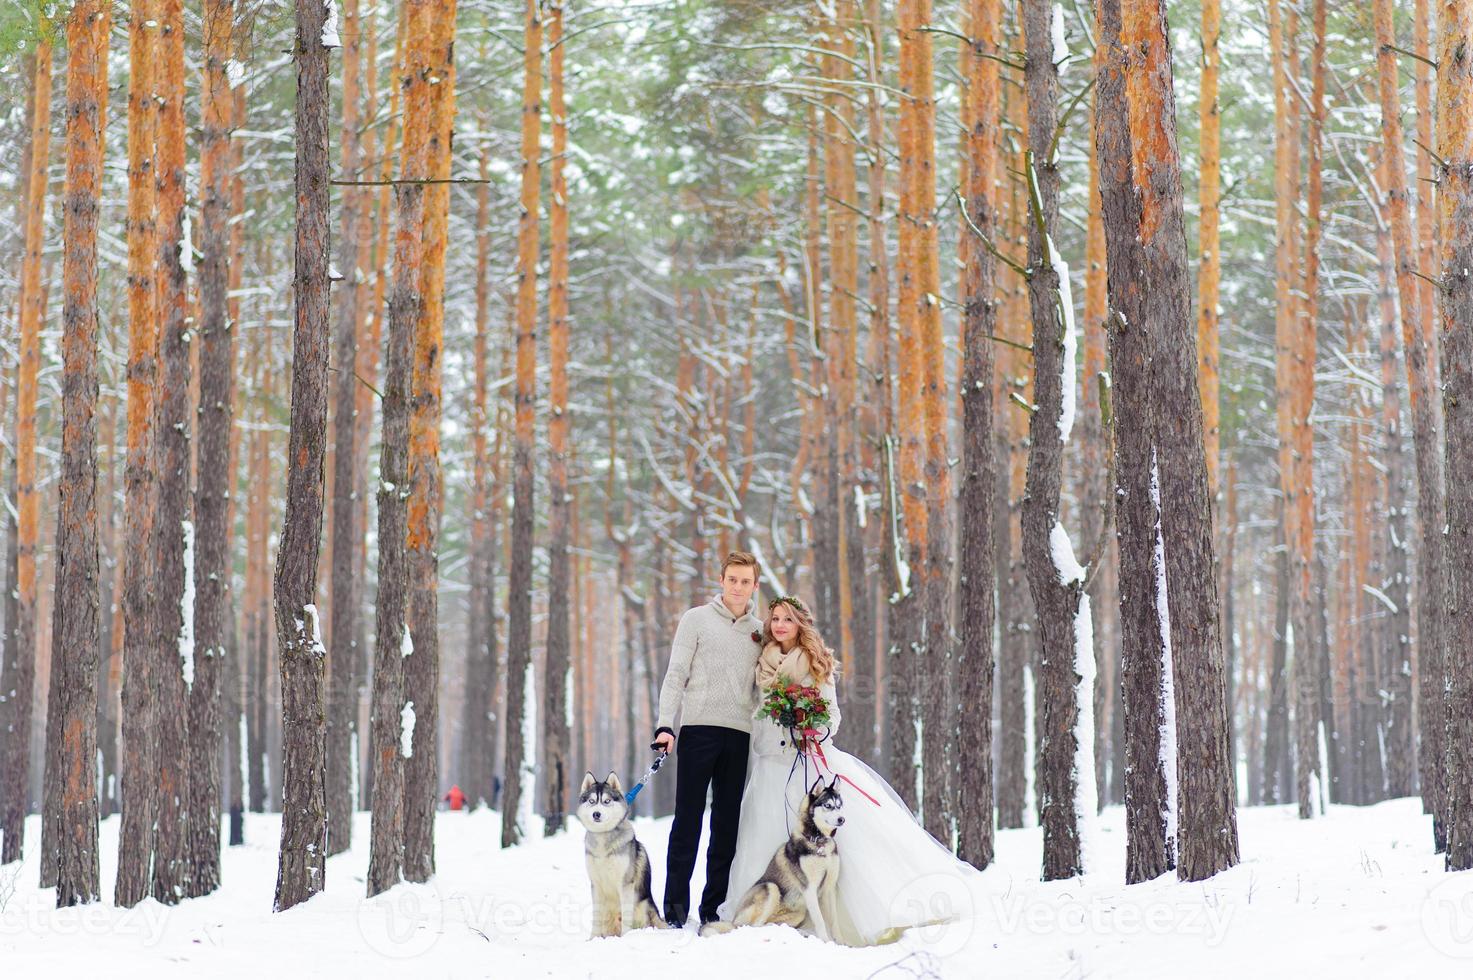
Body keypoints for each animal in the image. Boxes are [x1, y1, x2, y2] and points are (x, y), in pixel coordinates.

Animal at [574, 766, 668, 937]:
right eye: (592, 801)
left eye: (607, 801)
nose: (596, 814)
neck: (603, 840)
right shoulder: (595, 885)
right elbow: (595, 917)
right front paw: (593, 939)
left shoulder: (625, 883)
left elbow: (626, 916)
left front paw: (626, 937)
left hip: (643, 908)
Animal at [704, 772, 854, 943]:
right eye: (827, 806)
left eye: (839, 805)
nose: (842, 819)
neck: (818, 842)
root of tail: (733, 919)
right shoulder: (809, 888)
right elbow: (820, 920)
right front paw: (825, 942)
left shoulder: (829, 888)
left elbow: (834, 921)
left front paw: (840, 943)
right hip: (771, 888)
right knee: (752, 926)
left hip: (799, 913)